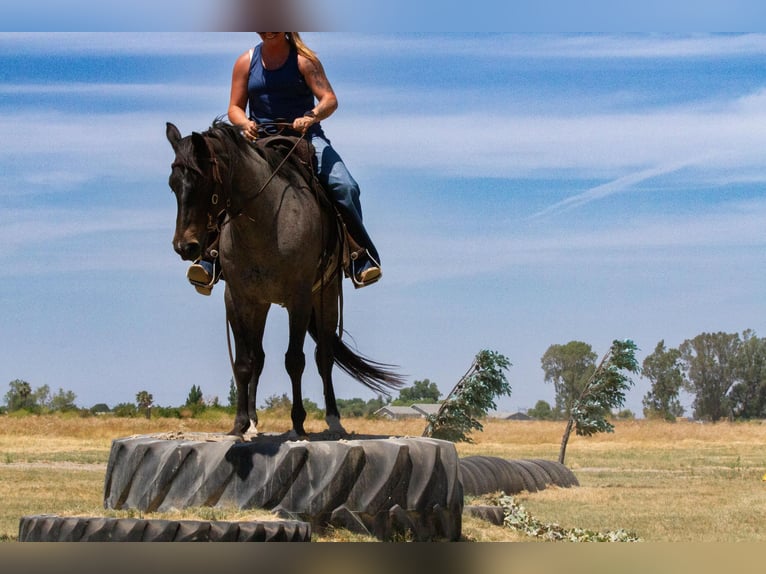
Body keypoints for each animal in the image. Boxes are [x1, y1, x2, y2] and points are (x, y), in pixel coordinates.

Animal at [165, 119, 404, 438]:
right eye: (173, 184)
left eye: (203, 181)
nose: (185, 247)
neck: (265, 221)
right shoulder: (238, 298)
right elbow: (244, 362)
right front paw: (240, 424)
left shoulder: (298, 297)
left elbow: (295, 360)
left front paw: (298, 423)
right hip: (262, 304)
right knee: (259, 357)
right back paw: (254, 422)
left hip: (326, 296)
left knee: (323, 357)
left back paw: (333, 420)